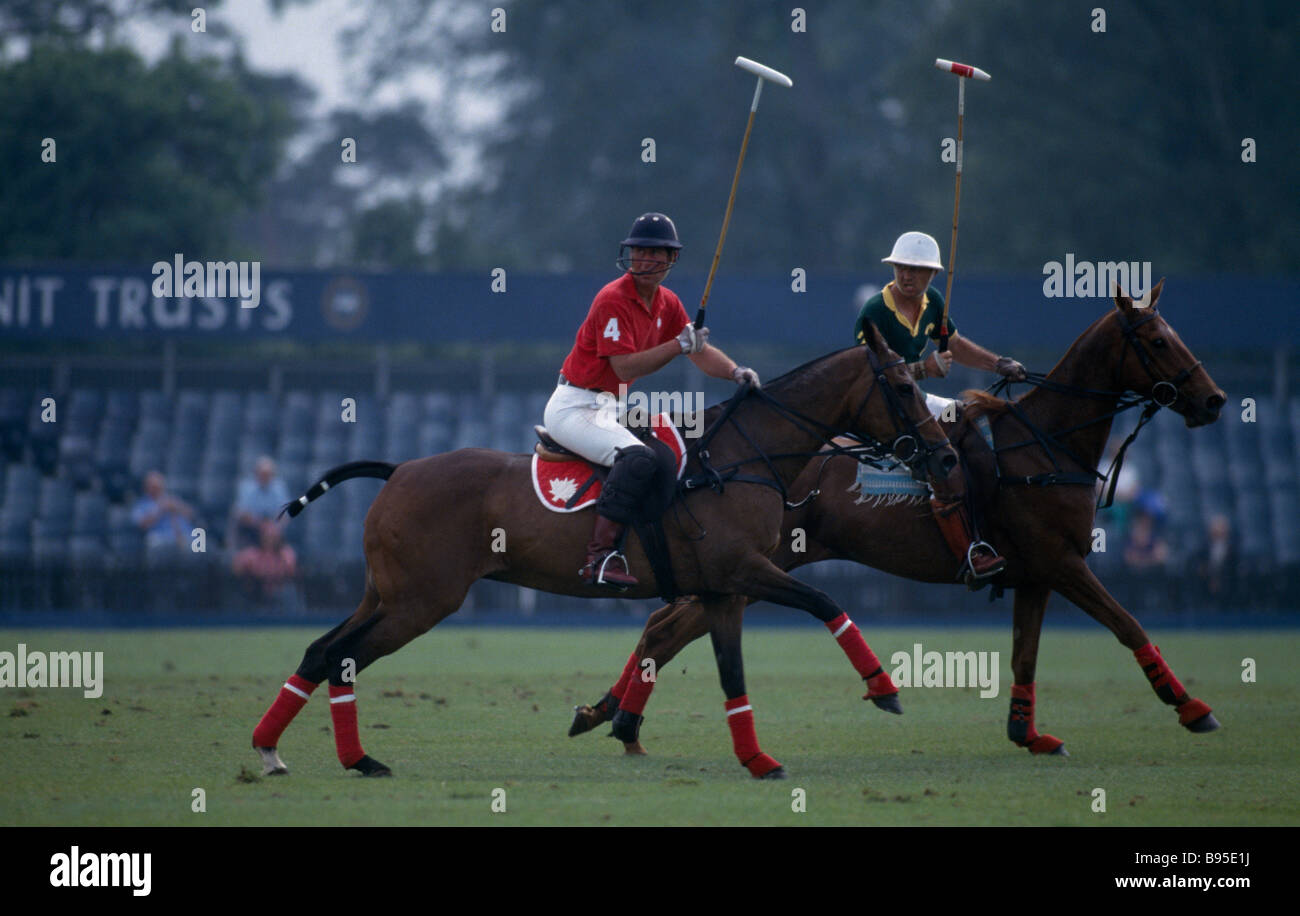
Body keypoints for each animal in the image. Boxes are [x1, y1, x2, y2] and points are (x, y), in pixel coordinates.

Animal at [250, 322, 956, 779]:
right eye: (903, 387)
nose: (945, 455)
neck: (738, 460)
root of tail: (399, 469)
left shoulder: (725, 590)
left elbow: (732, 674)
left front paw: (757, 759)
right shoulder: (746, 571)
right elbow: (824, 600)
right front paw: (884, 688)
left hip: (386, 593)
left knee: (323, 651)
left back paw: (290, 751)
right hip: (421, 601)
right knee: (341, 656)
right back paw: (340, 757)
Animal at [572, 284, 1227, 758]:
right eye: (1159, 340)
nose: (1215, 400)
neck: (1048, 447)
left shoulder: (1037, 575)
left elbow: (1026, 654)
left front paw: (1027, 733)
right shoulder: (1062, 562)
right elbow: (1129, 625)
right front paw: (1193, 708)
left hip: (749, 566)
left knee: (666, 625)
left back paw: (608, 714)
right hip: (758, 563)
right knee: (669, 627)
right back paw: (615, 717)